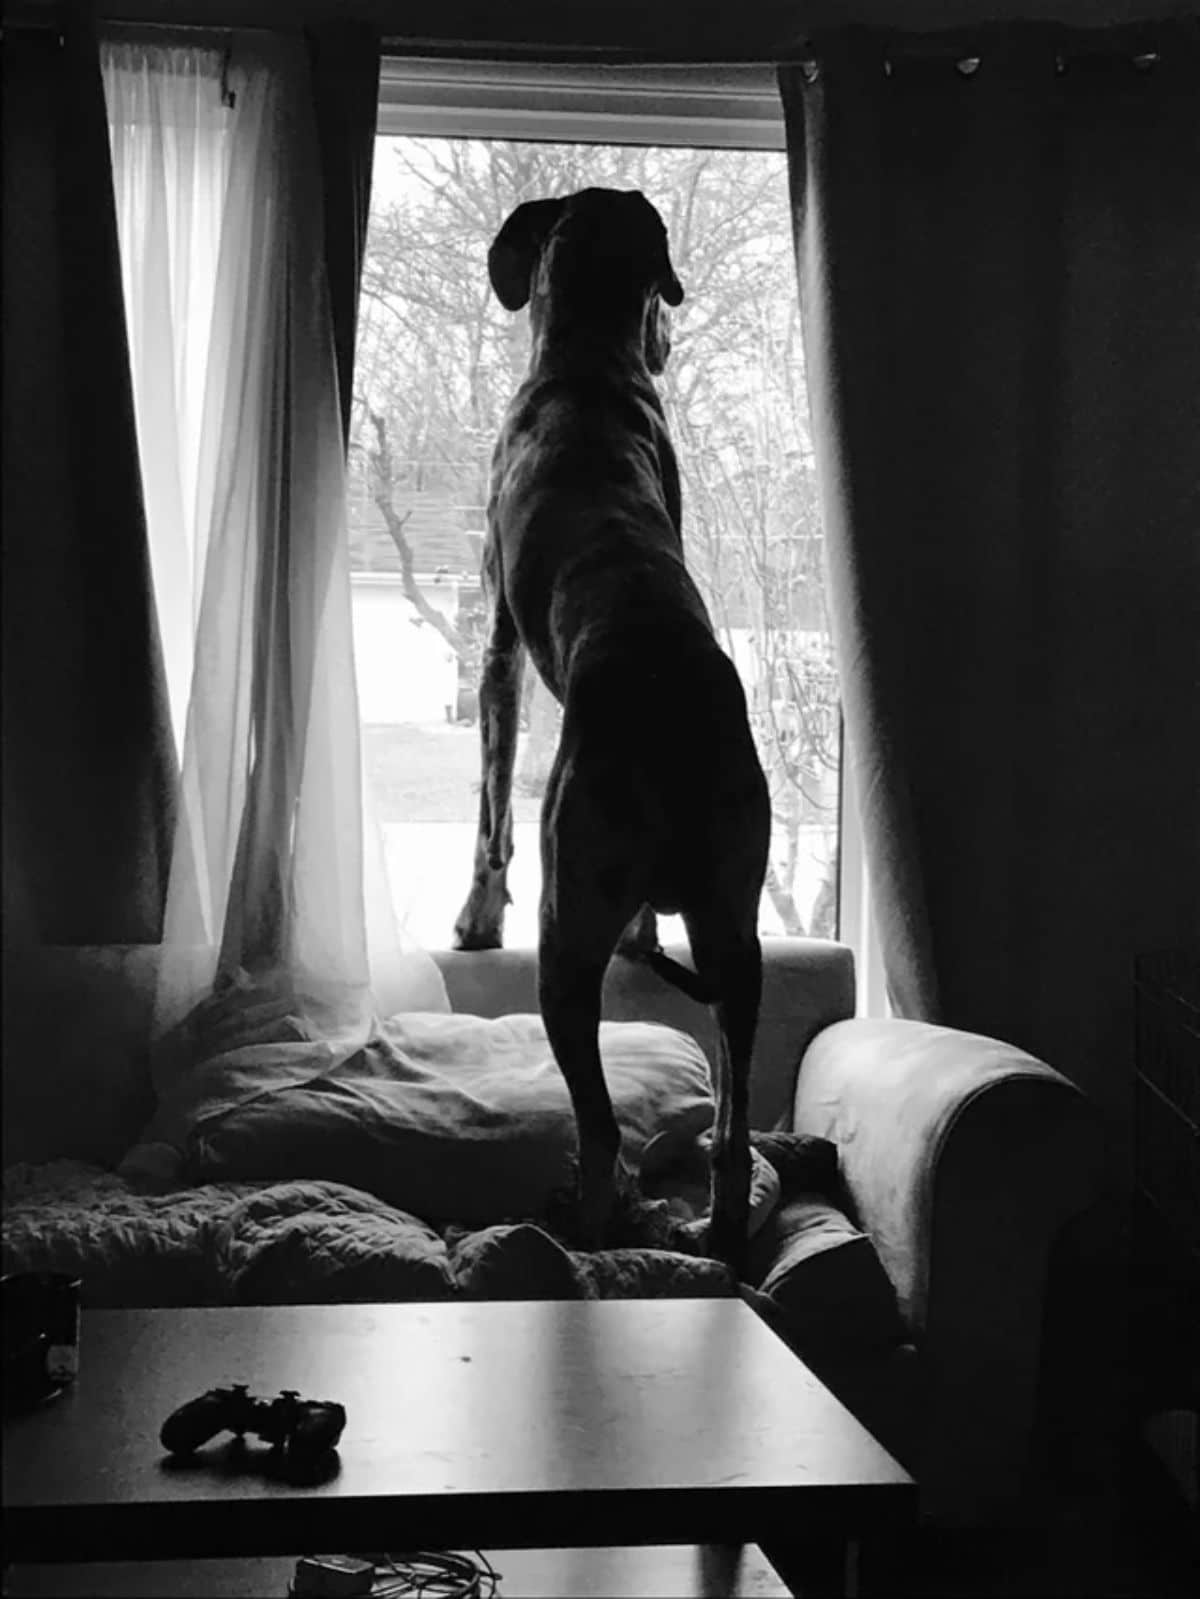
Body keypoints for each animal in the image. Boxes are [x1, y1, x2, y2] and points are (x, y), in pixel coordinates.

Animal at [451, 187, 771, 1266]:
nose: (666, 339)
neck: (586, 370)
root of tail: (673, 710)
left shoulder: (497, 646)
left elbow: (491, 807)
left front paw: (476, 914)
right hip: (734, 933)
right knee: (734, 1119)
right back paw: (716, 1223)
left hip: (566, 943)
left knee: (596, 1130)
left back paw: (581, 1230)